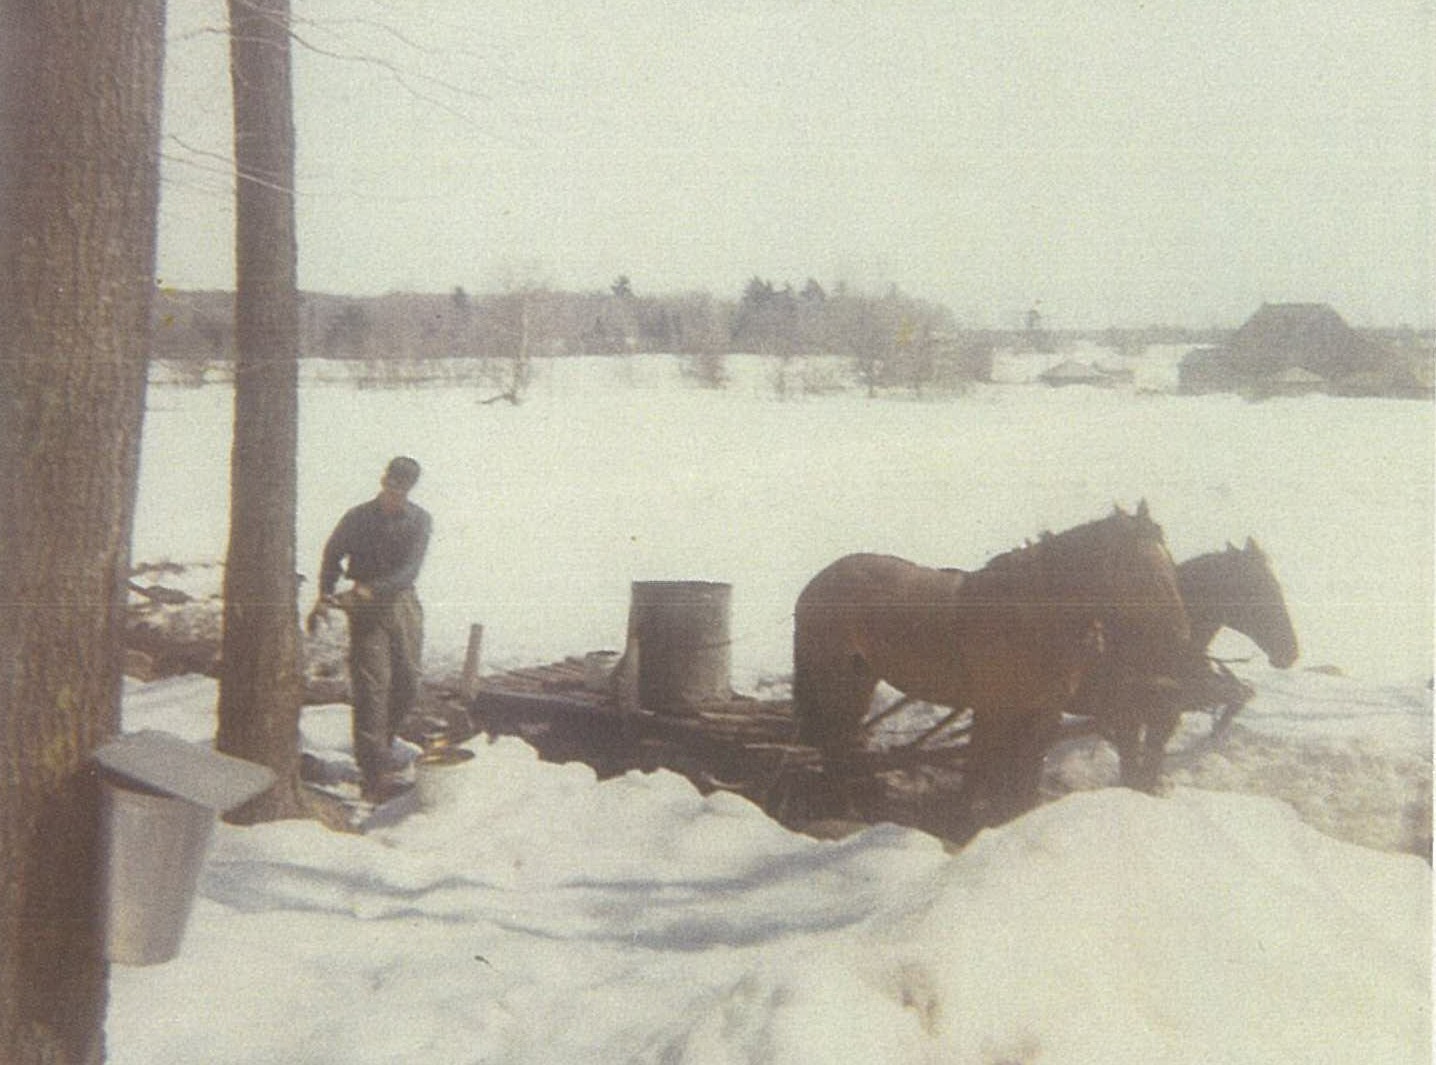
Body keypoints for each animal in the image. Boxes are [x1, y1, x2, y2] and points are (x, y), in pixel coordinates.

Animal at [798, 505, 1189, 832]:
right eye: (1144, 571)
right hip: (839, 683)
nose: (1181, 635)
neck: (1032, 616)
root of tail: (816, 584)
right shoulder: (993, 709)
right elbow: (981, 766)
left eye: (1170, 564)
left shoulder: (1043, 712)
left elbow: (1025, 773)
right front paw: (964, 825)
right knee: (835, 743)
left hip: (860, 680)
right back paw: (844, 812)